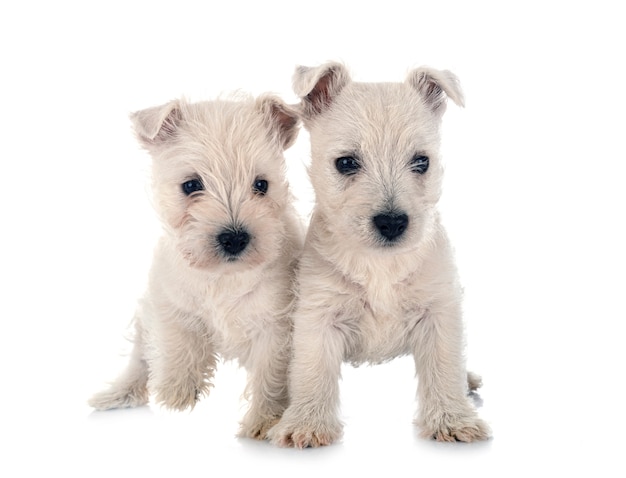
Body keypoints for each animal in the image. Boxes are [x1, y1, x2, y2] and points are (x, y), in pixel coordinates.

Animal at [88, 94, 302, 440]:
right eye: (191, 185)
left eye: (261, 185)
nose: (234, 238)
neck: (223, 277)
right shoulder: (168, 299)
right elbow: (178, 338)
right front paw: (176, 391)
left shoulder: (276, 327)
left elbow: (270, 377)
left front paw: (263, 421)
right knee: (140, 357)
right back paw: (118, 393)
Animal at [266, 61, 490, 446]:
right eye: (346, 163)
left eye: (421, 161)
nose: (392, 222)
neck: (380, 263)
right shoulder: (318, 315)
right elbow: (313, 371)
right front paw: (306, 423)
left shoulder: (439, 311)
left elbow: (443, 366)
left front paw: (452, 419)